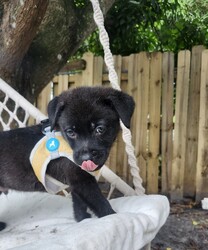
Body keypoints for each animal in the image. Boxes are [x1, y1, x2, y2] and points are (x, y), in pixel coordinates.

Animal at [0, 86, 135, 230]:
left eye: (100, 129)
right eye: (70, 132)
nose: (86, 158)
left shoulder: (77, 181)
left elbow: (79, 204)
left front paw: (82, 219)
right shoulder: (81, 180)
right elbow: (99, 202)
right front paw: (112, 216)